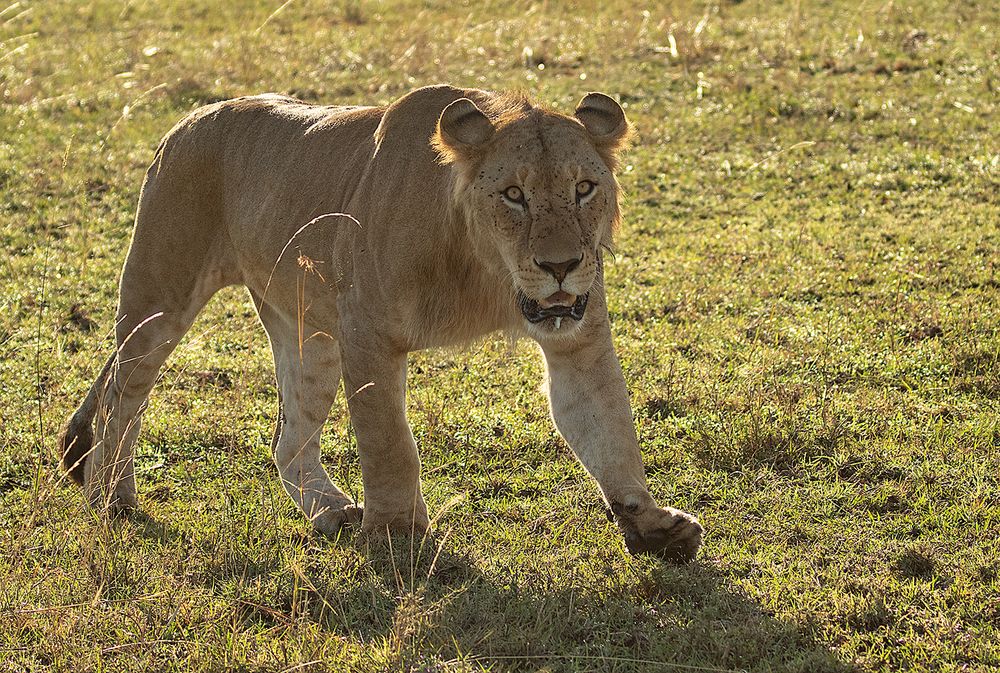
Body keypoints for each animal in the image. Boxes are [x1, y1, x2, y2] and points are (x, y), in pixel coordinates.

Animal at [60, 86, 704, 564]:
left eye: (584, 189)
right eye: (513, 195)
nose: (561, 266)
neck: (486, 272)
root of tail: (190, 118)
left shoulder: (577, 336)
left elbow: (609, 427)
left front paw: (650, 522)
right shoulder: (366, 332)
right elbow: (388, 442)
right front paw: (397, 535)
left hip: (309, 333)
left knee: (288, 438)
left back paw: (332, 511)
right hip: (159, 294)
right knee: (122, 394)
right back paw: (110, 498)